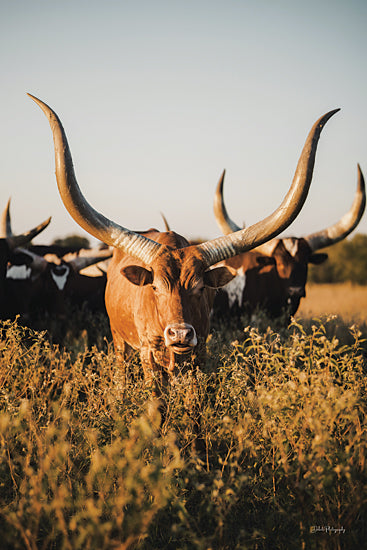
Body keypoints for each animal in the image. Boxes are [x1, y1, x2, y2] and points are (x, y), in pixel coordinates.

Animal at [28, 92, 340, 388]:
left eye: (200, 288)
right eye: (155, 287)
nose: (179, 333)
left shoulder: (200, 351)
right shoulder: (147, 354)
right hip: (118, 341)